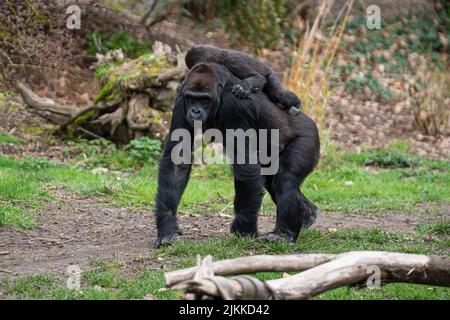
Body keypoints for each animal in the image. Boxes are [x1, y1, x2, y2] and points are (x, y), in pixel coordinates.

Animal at [155, 62, 320, 248]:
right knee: (272, 181)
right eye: (191, 98)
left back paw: (285, 233)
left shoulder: (234, 107)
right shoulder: (180, 101)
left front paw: (243, 229)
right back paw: (308, 213)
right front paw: (168, 226)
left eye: (204, 99)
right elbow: (177, 160)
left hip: (308, 137)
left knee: (285, 179)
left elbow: (246, 165)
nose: (195, 111)